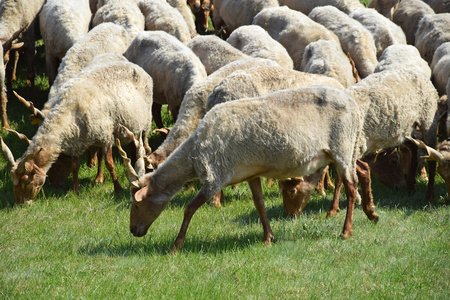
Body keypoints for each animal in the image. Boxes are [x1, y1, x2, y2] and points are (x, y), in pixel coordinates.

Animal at [0, 58, 154, 204]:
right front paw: (75, 190)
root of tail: (137, 66)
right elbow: (75, 166)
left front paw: (118, 190)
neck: (68, 112)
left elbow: (110, 164)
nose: (21, 204)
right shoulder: (76, 140)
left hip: (145, 121)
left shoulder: (106, 136)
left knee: (142, 144)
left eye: (26, 181)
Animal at [121, 85, 368, 252]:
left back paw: (346, 231)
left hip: (343, 146)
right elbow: (259, 204)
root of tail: (355, 107)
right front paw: (268, 237)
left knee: (351, 188)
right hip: (345, 149)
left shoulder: (216, 176)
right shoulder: (250, 172)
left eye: (136, 203)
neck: (193, 156)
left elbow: (189, 208)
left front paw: (176, 245)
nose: (133, 230)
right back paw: (370, 214)